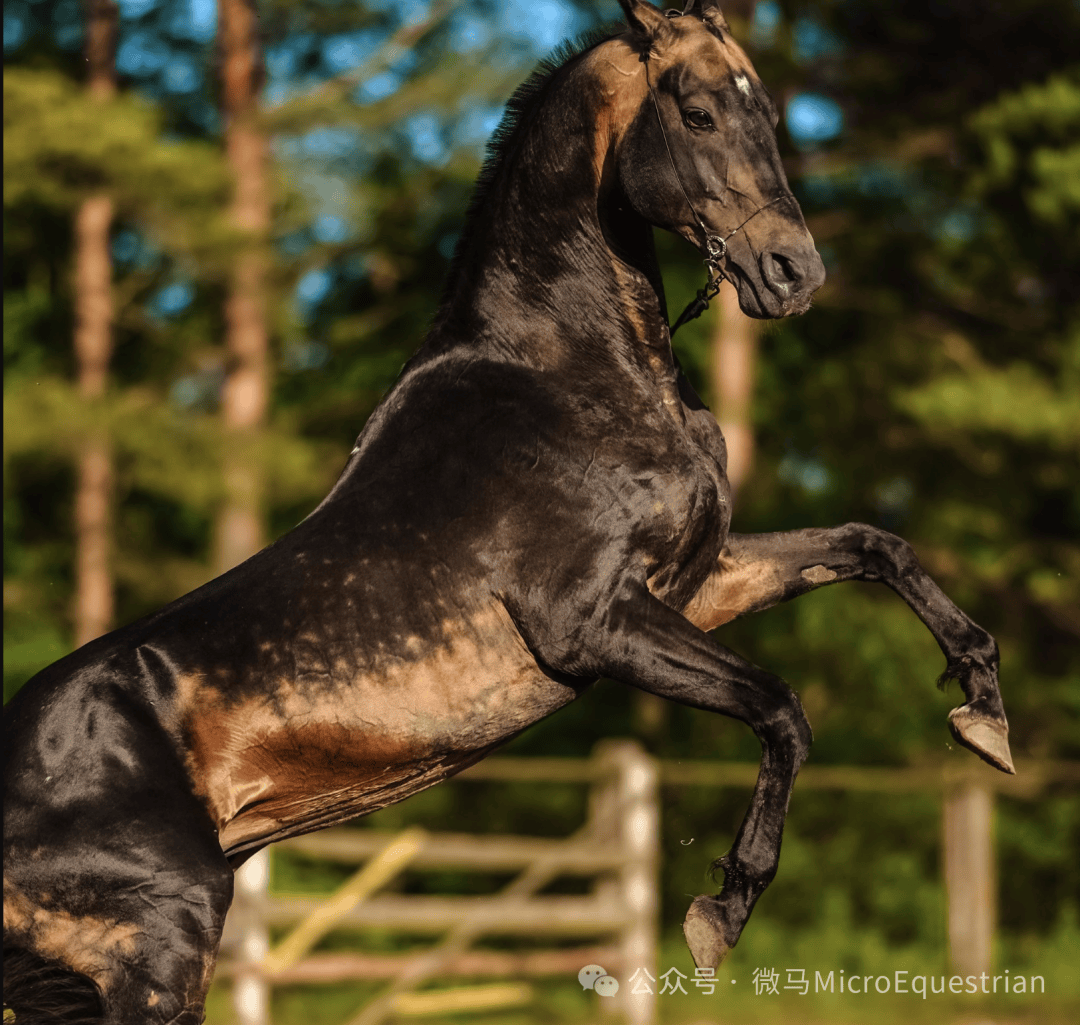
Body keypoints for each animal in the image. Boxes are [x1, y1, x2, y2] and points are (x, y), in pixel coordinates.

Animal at [2, 3, 1010, 1019]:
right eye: (696, 113)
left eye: (765, 111)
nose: (794, 273)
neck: (567, 370)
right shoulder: (591, 623)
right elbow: (780, 706)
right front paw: (719, 914)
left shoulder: (695, 585)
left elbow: (871, 545)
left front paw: (984, 715)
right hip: (163, 949)